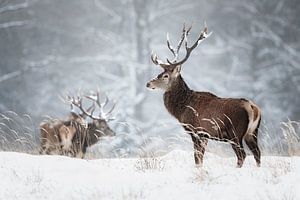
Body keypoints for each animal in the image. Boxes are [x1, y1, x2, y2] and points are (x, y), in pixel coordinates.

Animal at [146, 24, 262, 168]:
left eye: (165, 76)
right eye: (160, 73)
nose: (148, 83)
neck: (183, 109)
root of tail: (253, 108)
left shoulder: (196, 131)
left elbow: (197, 158)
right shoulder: (205, 135)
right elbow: (200, 158)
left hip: (235, 132)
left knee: (242, 155)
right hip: (252, 132)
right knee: (257, 153)